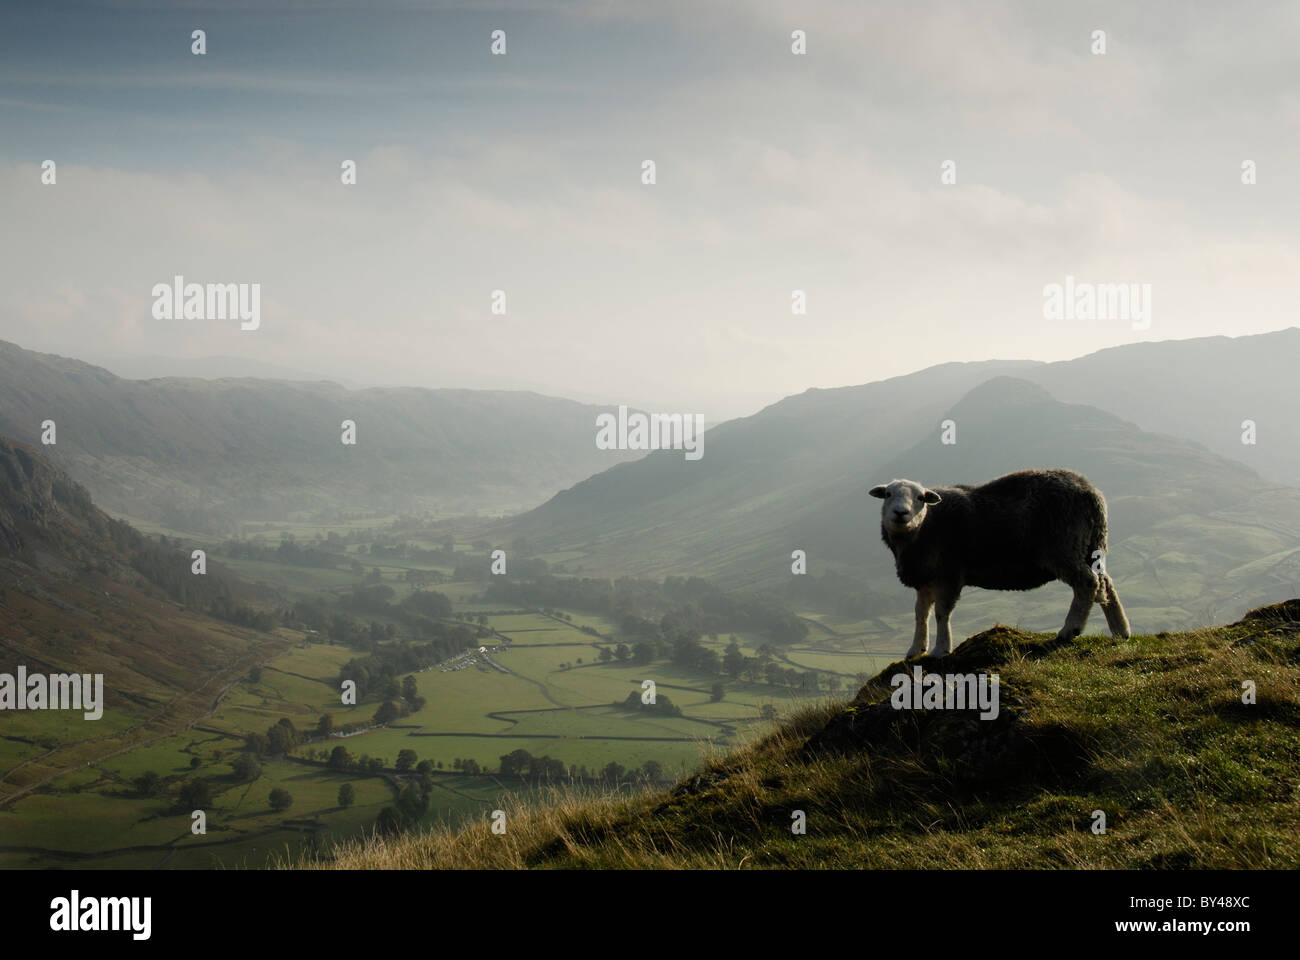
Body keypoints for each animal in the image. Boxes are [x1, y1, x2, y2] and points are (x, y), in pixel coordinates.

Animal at [873, 465, 1128, 658]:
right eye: (888, 494)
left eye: (920, 498)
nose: (900, 513)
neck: (925, 527)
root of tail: (1091, 491)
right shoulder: (925, 577)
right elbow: (920, 613)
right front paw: (916, 649)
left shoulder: (949, 574)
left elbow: (941, 613)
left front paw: (941, 649)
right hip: (1090, 546)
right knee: (1106, 583)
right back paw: (1121, 631)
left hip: (1064, 546)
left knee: (1087, 582)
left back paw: (1070, 629)